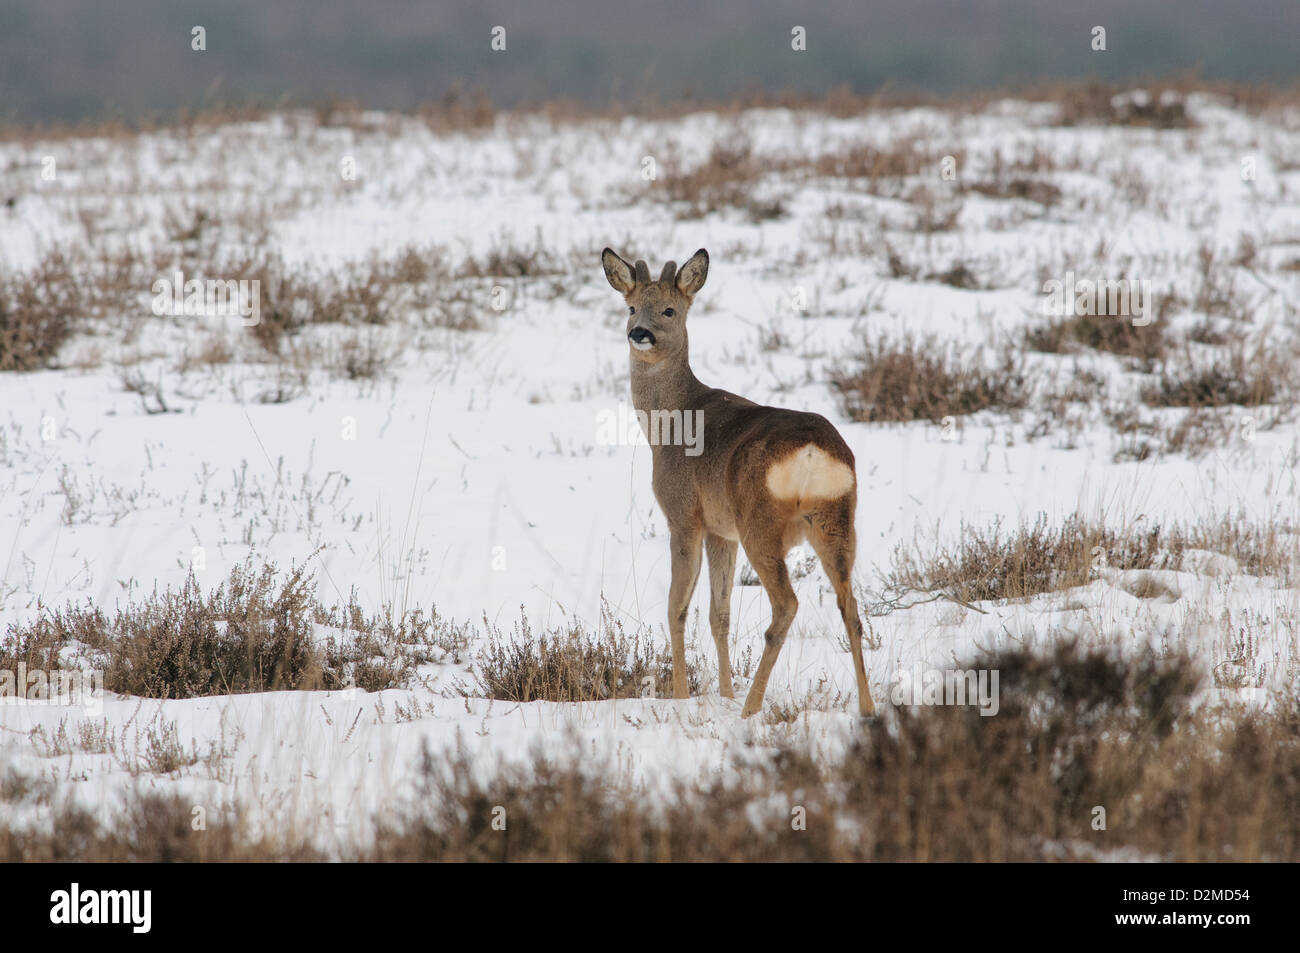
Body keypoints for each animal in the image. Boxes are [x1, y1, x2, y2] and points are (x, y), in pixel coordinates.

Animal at [601, 247, 875, 718]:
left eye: (670, 309)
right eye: (631, 306)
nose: (639, 333)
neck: (669, 422)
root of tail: (810, 451)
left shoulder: (684, 514)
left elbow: (677, 608)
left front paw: (682, 697)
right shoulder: (720, 530)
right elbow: (720, 614)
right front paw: (724, 695)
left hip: (759, 522)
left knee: (786, 604)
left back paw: (752, 707)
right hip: (836, 518)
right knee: (851, 606)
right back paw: (868, 707)